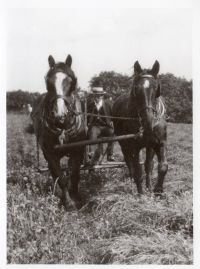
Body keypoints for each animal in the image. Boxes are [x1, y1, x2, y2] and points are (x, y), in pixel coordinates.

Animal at [30, 55, 85, 208]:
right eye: (48, 82)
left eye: (73, 82)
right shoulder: (50, 154)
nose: (60, 115)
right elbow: (60, 177)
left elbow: (75, 173)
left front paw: (76, 196)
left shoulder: (78, 149)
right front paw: (68, 202)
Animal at [112, 60, 167, 193]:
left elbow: (157, 166)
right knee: (129, 162)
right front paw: (141, 193)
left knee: (145, 164)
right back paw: (132, 183)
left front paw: (156, 189)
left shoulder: (157, 143)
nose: (148, 121)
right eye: (136, 89)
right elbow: (138, 170)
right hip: (124, 143)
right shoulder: (135, 146)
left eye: (156, 88)